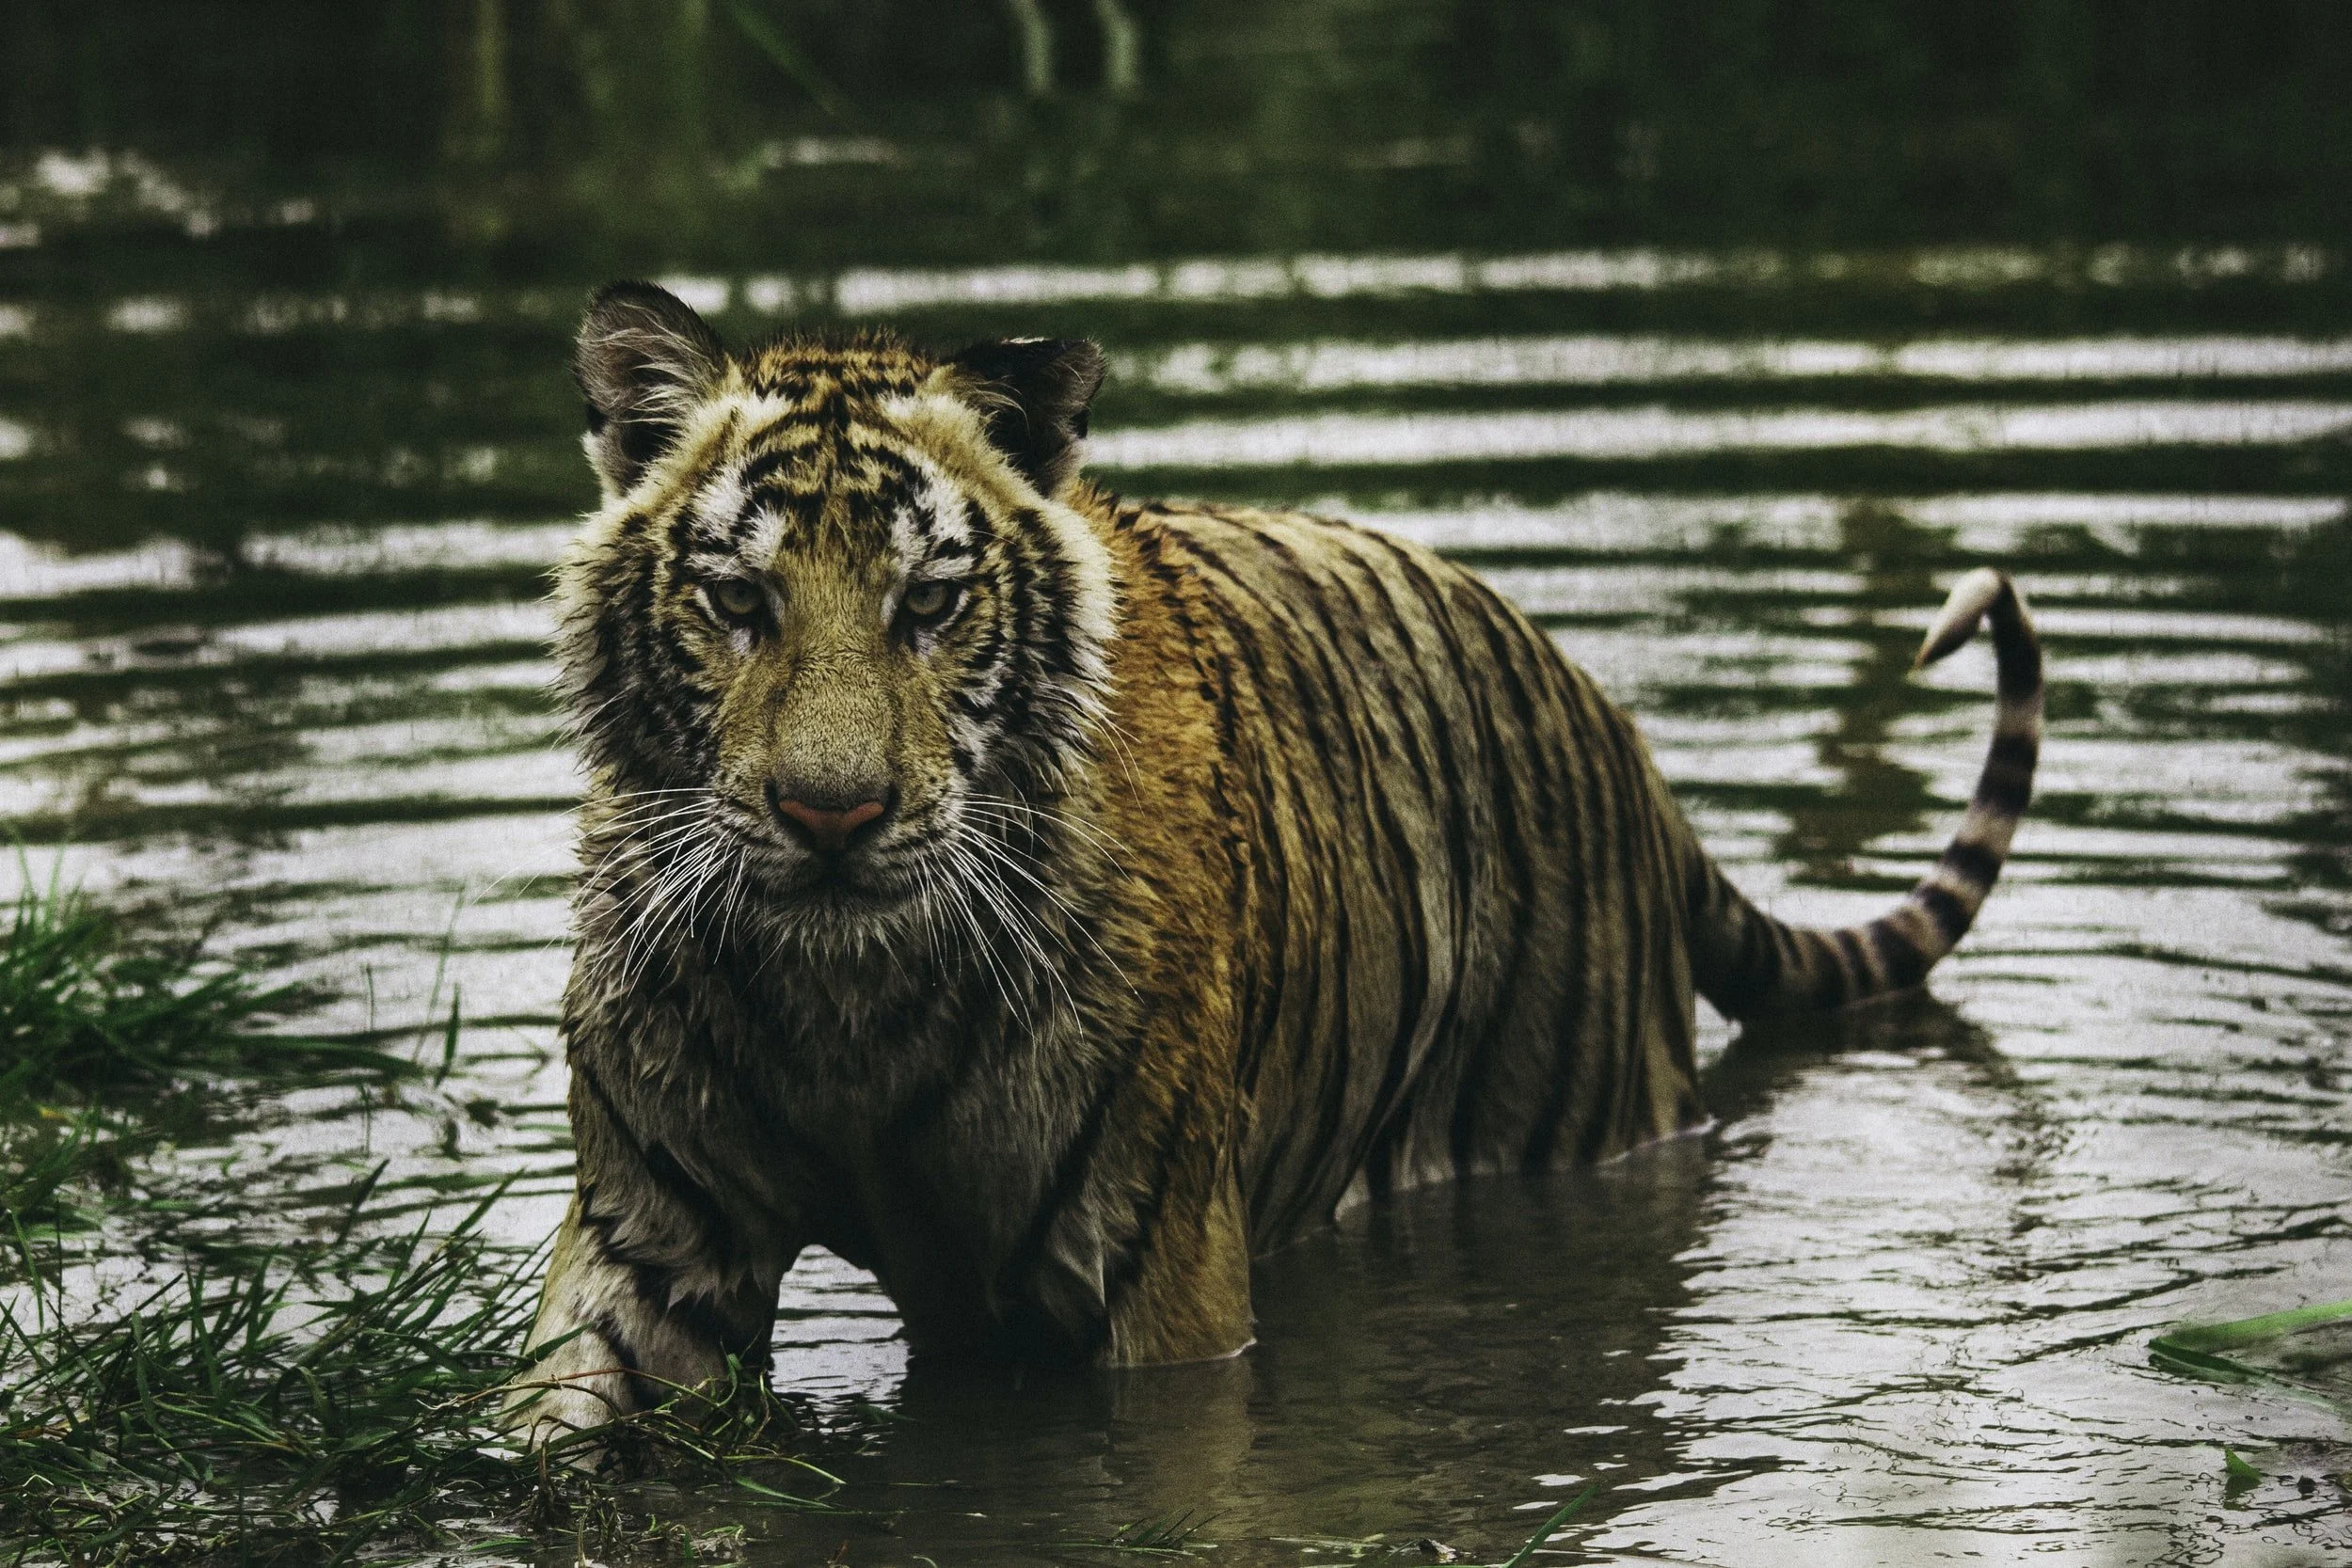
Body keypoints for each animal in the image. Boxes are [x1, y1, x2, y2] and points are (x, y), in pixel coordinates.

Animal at [504, 281, 2042, 1445]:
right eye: (736, 599)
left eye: (930, 604)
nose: (833, 816)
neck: (845, 1005)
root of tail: (1624, 740)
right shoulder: (651, 1243)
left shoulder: (1157, 1275)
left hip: (1577, 1120)